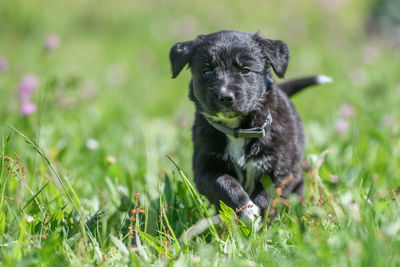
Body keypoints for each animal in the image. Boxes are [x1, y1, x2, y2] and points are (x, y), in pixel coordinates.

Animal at [169, 30, 328, 224]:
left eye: (245, 70)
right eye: (207, 71)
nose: (225, 97)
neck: (238, 130)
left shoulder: (283, 168)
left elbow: (269, 193)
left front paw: (260, 219)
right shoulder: (205, 168)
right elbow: (225, 185)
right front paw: (247, 211)